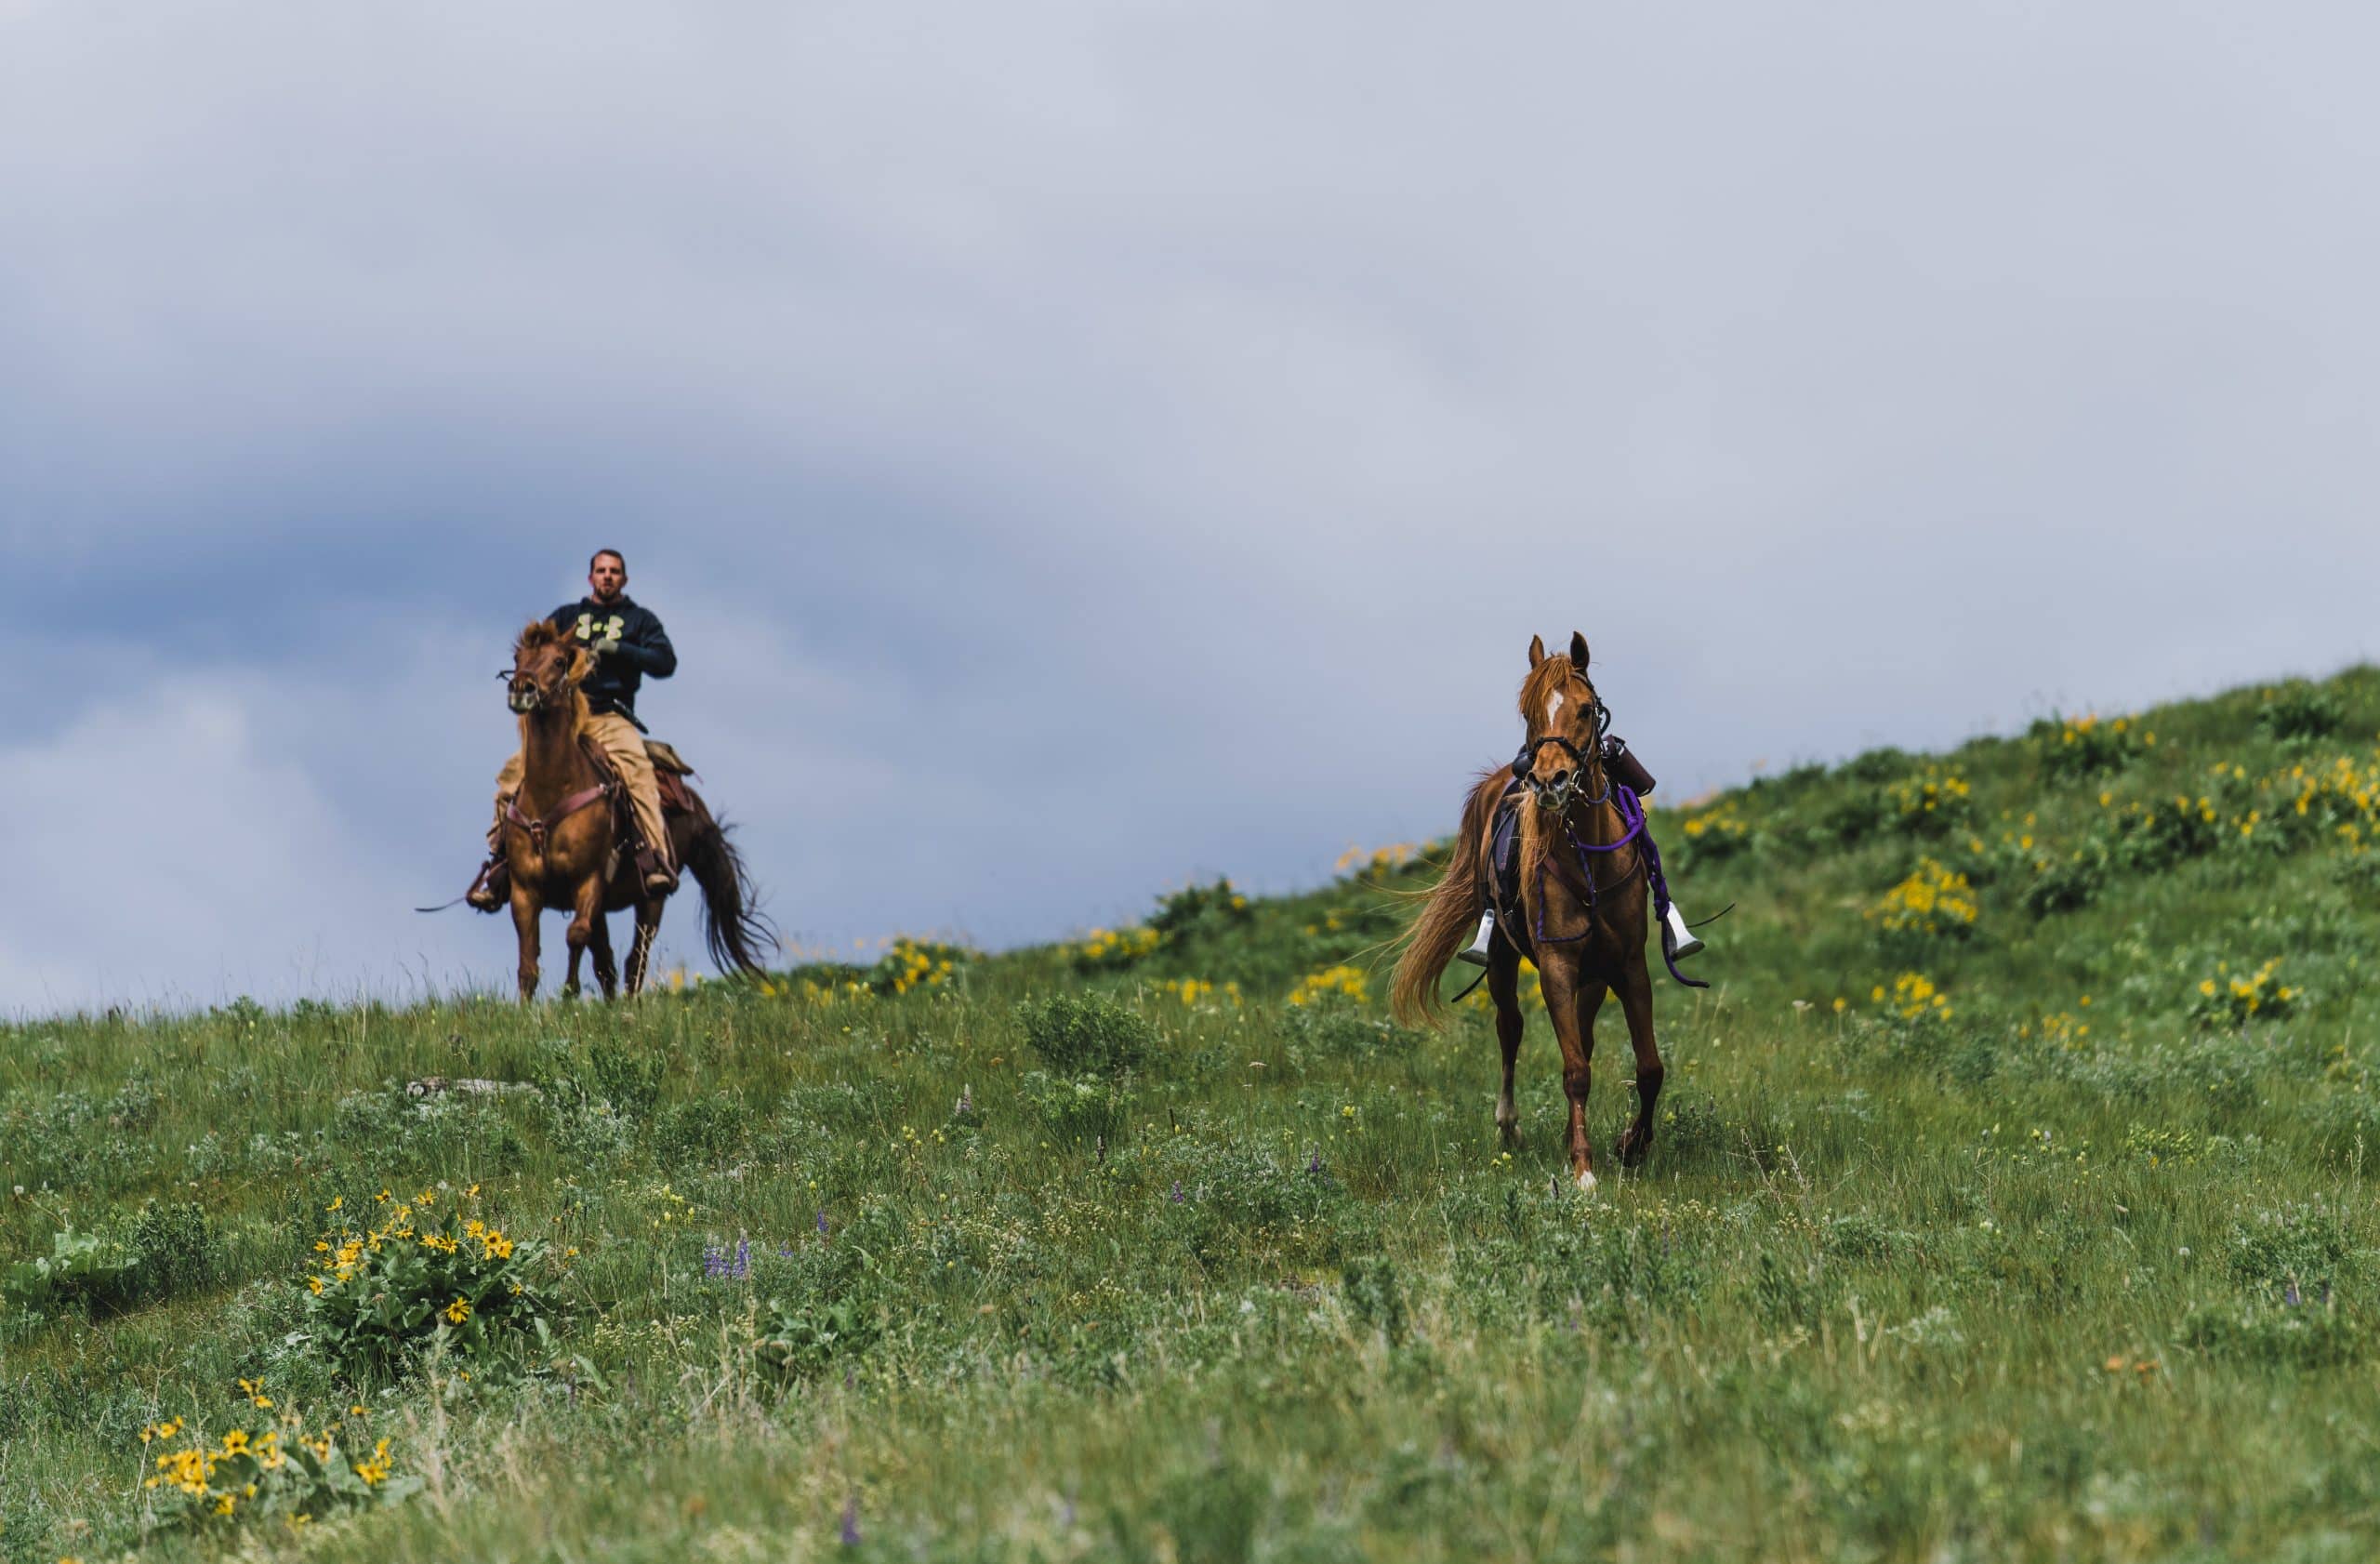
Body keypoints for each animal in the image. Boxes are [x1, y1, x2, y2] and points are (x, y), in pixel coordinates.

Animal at [500, 620, 774, 1000]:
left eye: (558, 660)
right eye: (518, 658)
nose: (521, 689)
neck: (551, 794)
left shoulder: (588, 881)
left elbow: (576, 935)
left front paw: (569, 994)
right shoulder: (525, 891)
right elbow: (529, 964)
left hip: (651, 901)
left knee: (634, 960)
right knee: (607, 962)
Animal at [1391, 632, 1675, 1192]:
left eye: (1585, 709)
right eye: (1528, 712)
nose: (1549, 781)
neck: (1591, 861)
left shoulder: (1628, 966)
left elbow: (1648, 1066)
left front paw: (1631, 1145)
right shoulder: (1556, 967)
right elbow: (1575, 1071)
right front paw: (1584, 1169)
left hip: (1594, 977)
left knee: (1584, 1036)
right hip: (1504, 962)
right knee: (1511, 1029)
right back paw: (1509, 1127)